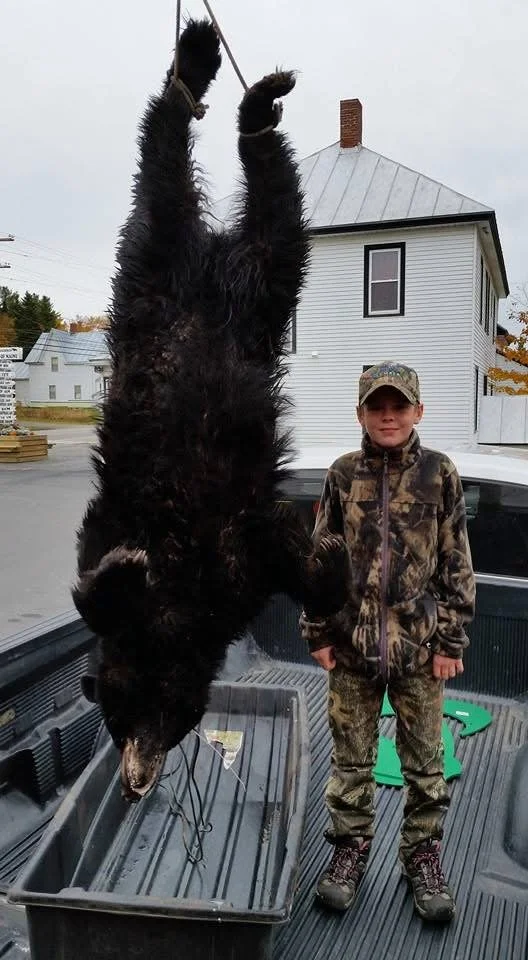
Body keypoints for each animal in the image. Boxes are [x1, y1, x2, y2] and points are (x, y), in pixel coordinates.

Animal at [72, 19, 348, 801]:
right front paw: (122, 568)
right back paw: (217, 82)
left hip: (210, 269)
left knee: (210, 176)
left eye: (162, 724)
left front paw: (331, 560)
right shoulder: (176, 544)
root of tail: (212, 261)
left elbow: (287, 555)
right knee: (205, 175)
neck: (182, 608)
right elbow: (95, 580)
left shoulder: (234, 567)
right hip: (172, 264)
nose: (135, 782)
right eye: (114, 724)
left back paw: (221, 85)